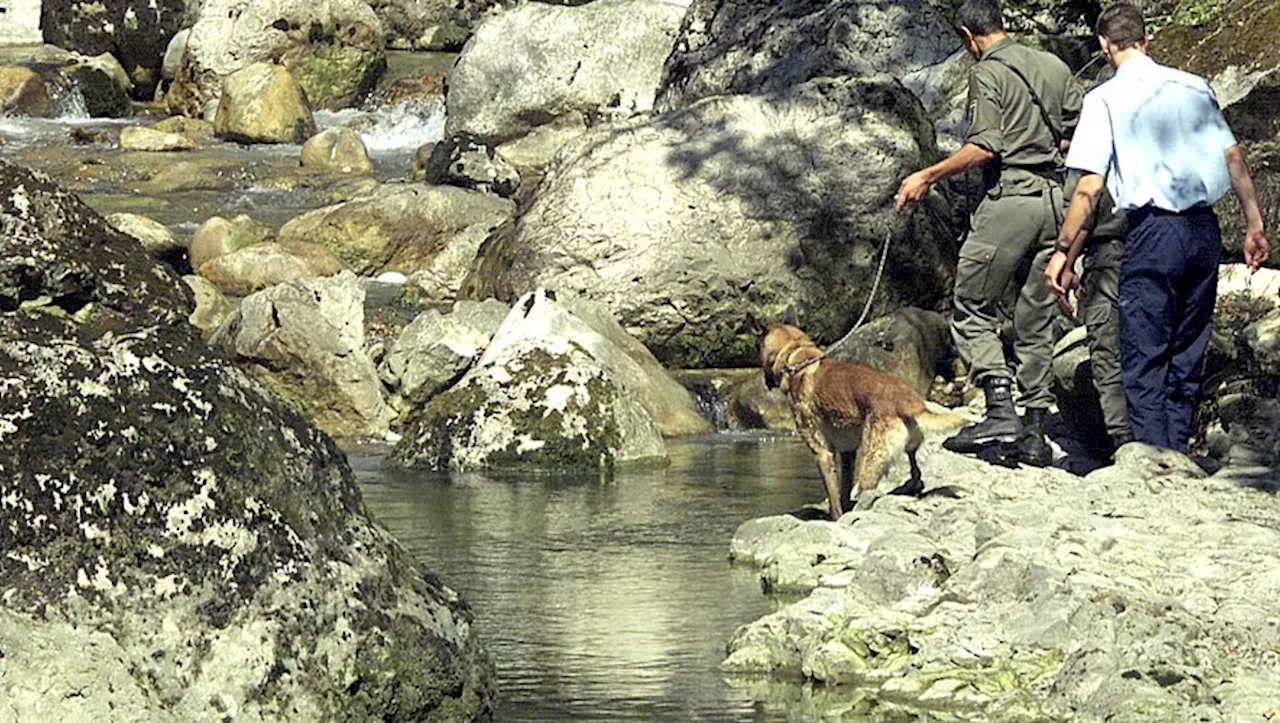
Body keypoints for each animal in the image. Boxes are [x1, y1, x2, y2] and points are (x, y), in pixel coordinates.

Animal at [747, 313, 962, 516]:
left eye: (756, 348)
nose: (766, 381)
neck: (798, 360)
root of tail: (908, 401)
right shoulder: (847, 452)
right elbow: (843, 492)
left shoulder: (822, 454)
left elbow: (835, 503)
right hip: (906, 450)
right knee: (916, 475)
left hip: (871, 459)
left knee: (868, 490)